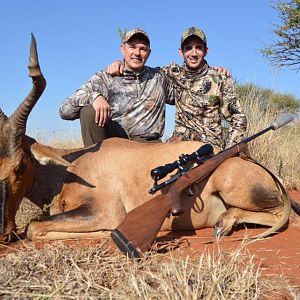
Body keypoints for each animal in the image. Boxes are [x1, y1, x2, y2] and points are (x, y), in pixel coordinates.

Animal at [0, 35, 300, 245]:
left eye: (22, 164)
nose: (4, 234)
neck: (74, 168)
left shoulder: (104, 212)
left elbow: (34, 227)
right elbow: (35, 226)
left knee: (289, 218)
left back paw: (224, 222)